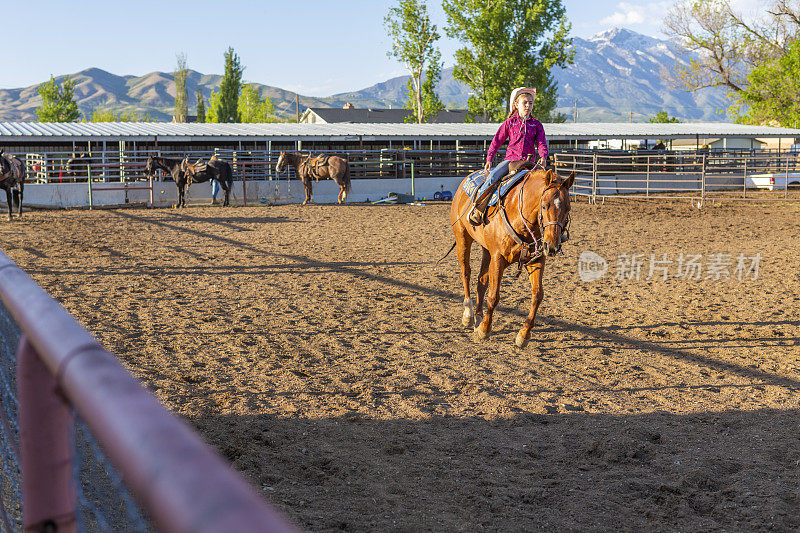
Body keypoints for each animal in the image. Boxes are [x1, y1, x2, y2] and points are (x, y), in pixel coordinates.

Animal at [450, 168, 576, 348]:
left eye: (568, 208)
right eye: (544, 205)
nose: (551, 246)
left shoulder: (536, 261)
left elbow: (537, 295)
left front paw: (524, 335)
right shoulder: (498, 258)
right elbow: (494, 296)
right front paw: (485, 330)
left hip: (486, 249)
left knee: (481, 281)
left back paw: (479, 317)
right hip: (462, 238)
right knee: (466, 273)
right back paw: (468, 314)